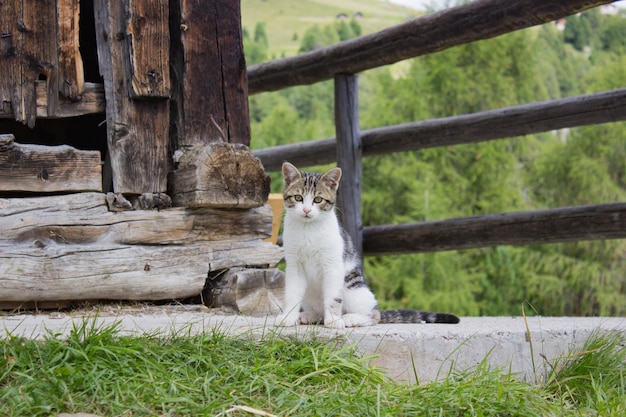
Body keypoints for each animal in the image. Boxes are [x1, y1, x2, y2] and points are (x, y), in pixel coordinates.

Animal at [274, 162, 458, 328]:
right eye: (298, 198)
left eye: (318, 199)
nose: (306, 210)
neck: (308, 229)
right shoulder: (294, 265)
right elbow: (292, 293)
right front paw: (288, 317)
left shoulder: (333, 265)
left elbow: (333, 297)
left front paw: (333, 321)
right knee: (319, 312)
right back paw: (308, 315)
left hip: (354, 289)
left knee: (373, 315)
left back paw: (350, 318)